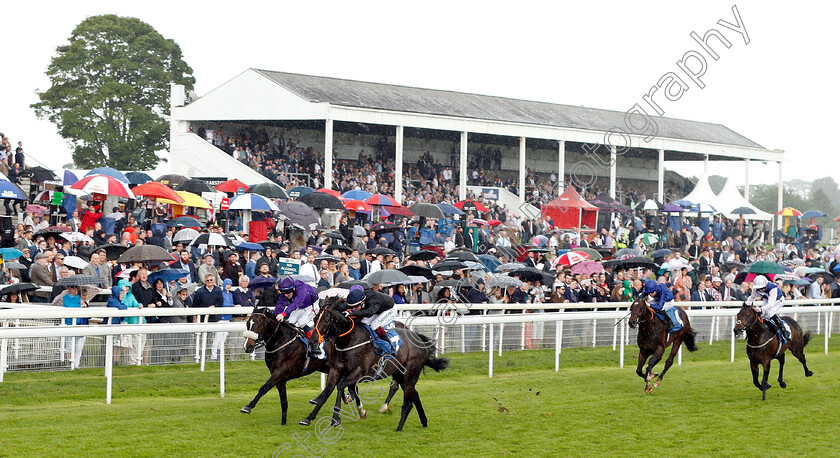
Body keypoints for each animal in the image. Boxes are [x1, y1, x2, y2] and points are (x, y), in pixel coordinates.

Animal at [240, 308, 398, 426]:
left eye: (259, 324)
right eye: (248, 323)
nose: (247, 347)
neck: (282, 341)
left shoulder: (281, 371)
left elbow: (264, 387)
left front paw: (248, 406)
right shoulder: (279, 377)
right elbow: (283, 400)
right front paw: (283, 422)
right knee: (350, 386)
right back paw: (355, 406)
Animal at [300, 296, 446, 432]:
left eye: (326, 320)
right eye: (315, 319)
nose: (312, 341)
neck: (350, 340)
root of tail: (418, 338)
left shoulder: (359, 372)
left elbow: (341, 386)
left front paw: (336, 418)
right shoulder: (335, 370)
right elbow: (327, 391)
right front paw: (309, 417)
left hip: (410, 375)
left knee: (407, 402)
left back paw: (399, 428)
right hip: (400, 375)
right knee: (414, 396)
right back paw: (424, 422)